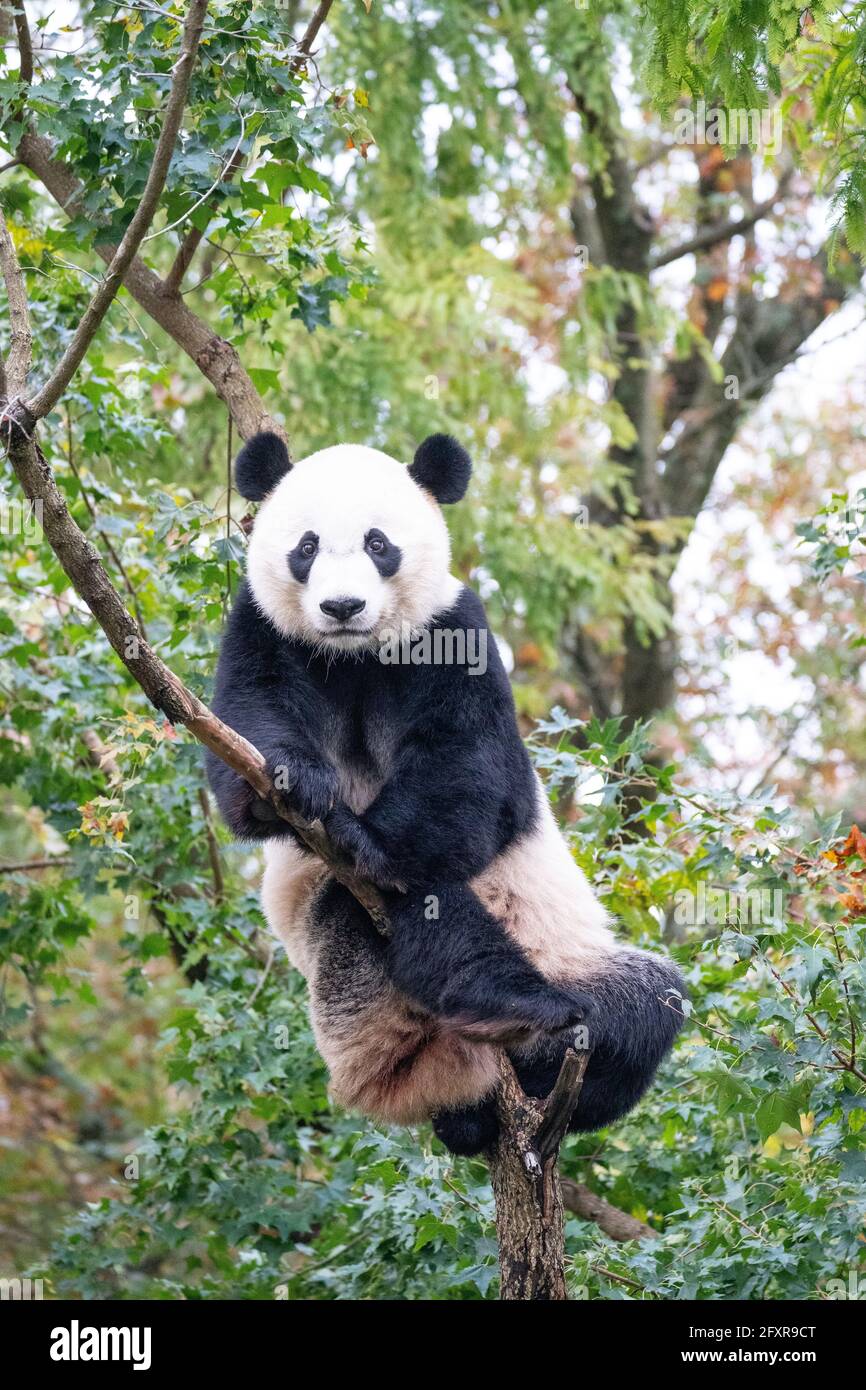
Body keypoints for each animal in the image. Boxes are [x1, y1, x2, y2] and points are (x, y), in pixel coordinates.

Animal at [207, 428, 686, 1156]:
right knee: (390, 911)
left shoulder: (453, 630)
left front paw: (367, 835)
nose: (342, 608)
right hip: (339, 980)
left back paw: (526, 1040)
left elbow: (475, 775)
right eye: (306, 547)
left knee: (647, 1005)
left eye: (379, 543)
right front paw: (296, 780)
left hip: (571, 961)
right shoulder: (263, 628)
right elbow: (247, 725)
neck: (355, 656)